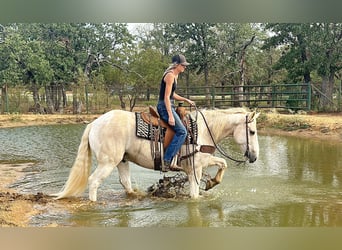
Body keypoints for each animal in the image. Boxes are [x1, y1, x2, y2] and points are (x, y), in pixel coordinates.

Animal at [52, 107, 260, 201]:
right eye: (252, 132)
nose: (254, 157)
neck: (202, 130)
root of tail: (94, 123)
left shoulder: (204, 161)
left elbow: (223, 163)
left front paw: (212, 182)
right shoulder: (195, 168)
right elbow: (194, 195)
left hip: (122, 161)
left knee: (125, 183)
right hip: (107, 163)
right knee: (94, 181)